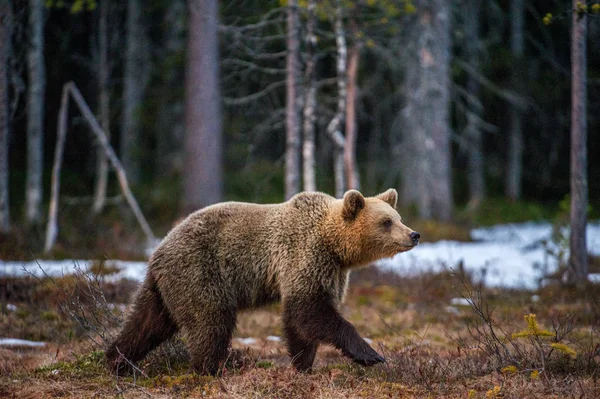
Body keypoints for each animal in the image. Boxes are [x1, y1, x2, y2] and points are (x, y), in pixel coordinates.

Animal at [105, 188, 420, 376]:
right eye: (386, 222)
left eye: (398, 217)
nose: (414, 234)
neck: (335, 245)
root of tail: (158, 249)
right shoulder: (306, 255)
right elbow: (310, 311)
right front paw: (370, 355)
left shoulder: (331, 271)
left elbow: (300, 321)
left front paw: (303, 364)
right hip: (200, 271)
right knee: (210, 320)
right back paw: (213, 367)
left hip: (164, 285)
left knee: (146, 322)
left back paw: (117, 360)